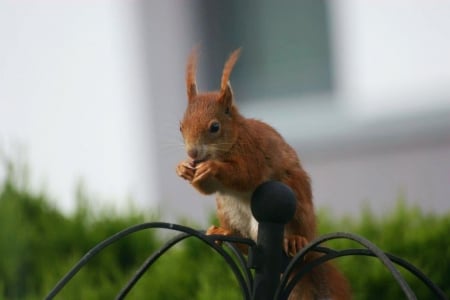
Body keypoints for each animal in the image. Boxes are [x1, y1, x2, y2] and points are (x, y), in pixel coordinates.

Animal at [176, 48, 352, 298]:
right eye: (181, 126)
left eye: (214, 127)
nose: (192, 153)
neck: (234, 138)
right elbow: (207, 188)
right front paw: (183, 168)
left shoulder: (253, 154)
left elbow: (245, 175)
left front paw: (213, 168)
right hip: (229, 210)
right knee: (243, 243)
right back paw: (224, 233)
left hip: (297, 204)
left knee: (300, 235)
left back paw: (297, 240)